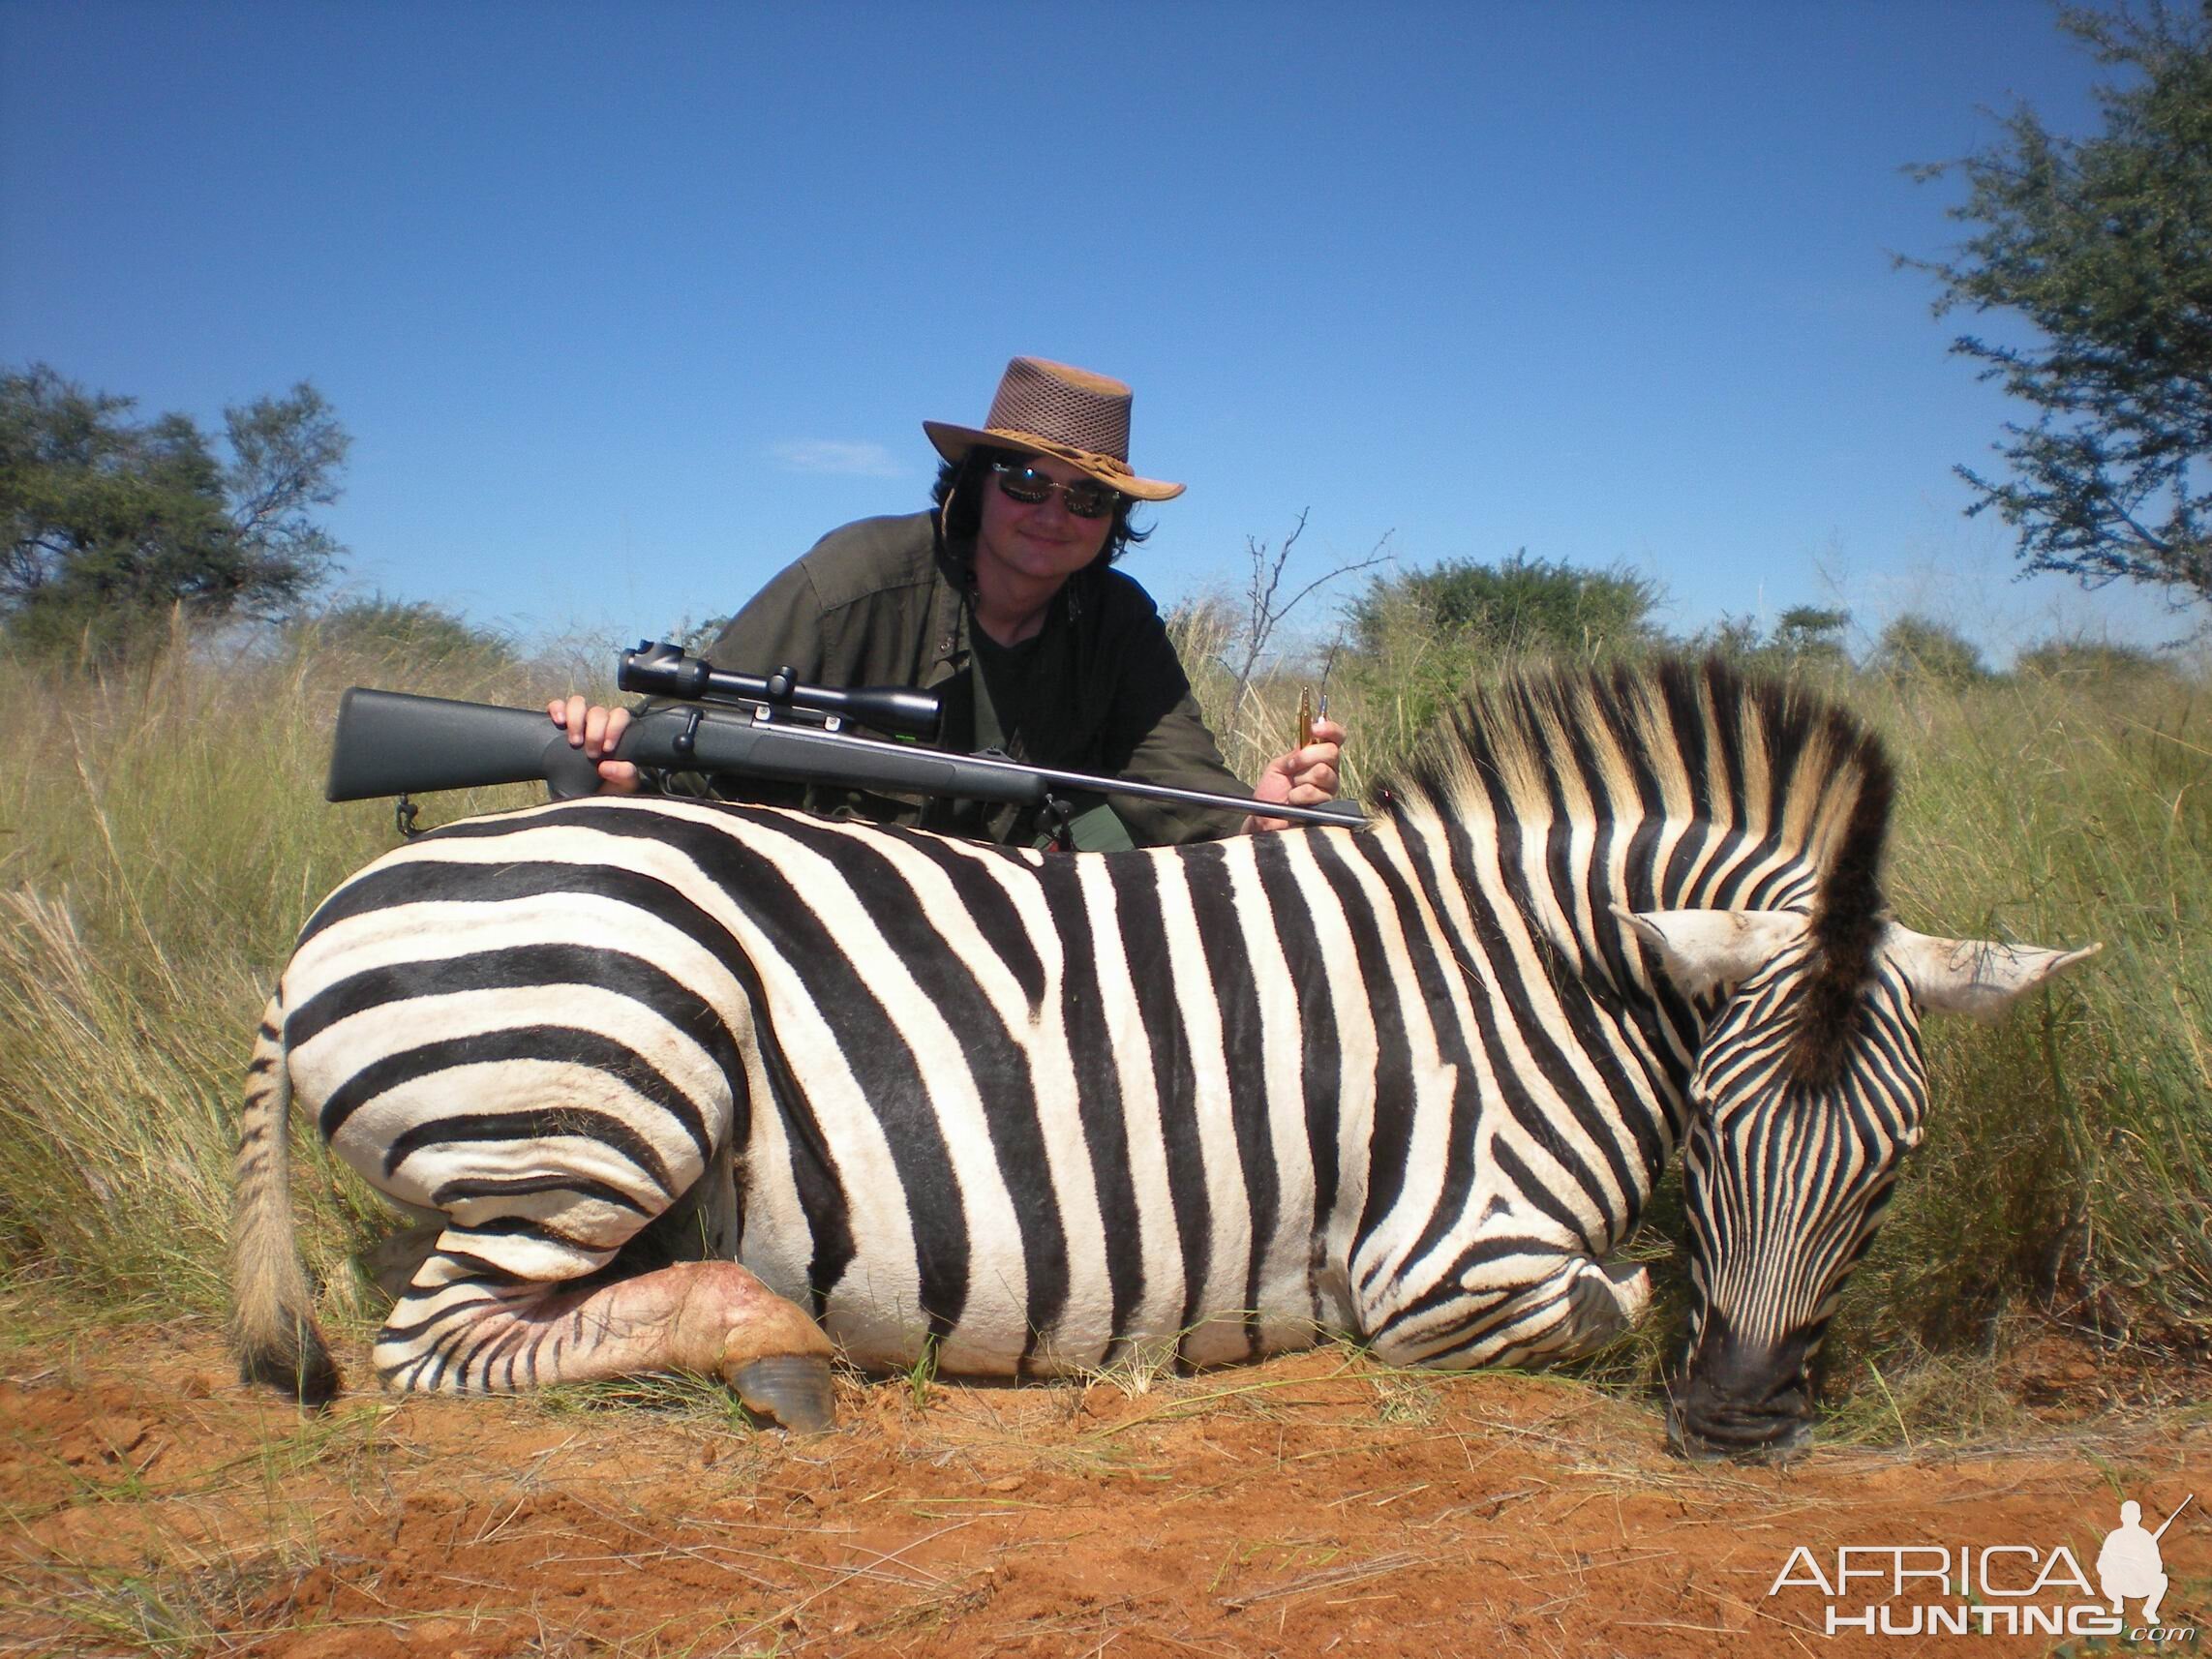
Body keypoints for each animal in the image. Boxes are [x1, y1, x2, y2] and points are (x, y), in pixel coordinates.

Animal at [233, 659, 2097, 1451]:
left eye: (1898, 1163)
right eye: (1709, 1131)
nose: (1733, 1424)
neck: (1544, 975)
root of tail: (335, 906)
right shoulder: (1443, 1259)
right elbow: (1616, 1293)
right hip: (611, 1078)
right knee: (434, 1344)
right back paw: (772, 1341)